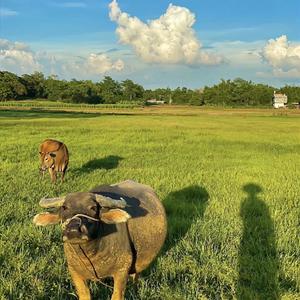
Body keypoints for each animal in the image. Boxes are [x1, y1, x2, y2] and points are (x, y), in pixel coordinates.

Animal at [34, 180, 169, 300]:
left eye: (93, 207)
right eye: (64, 207)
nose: (73, 230)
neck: (92, 254)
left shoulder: (121, 271)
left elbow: (116, 295)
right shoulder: (75, 272)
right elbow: (85, 295)